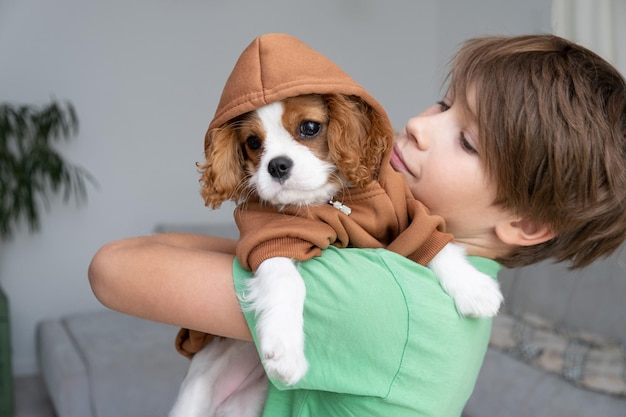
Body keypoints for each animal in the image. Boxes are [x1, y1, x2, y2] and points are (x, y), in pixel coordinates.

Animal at [167, 93, 502, 416]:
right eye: (252, 142)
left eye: (309, 127)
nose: (276, 165)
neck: (327, 202)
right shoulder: (267, 235)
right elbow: (285, 279)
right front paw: (285, 348)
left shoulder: (405, 212)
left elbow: (433, 241)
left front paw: (475, 288)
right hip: (197, 393)